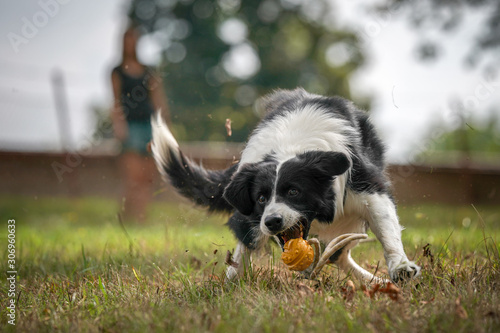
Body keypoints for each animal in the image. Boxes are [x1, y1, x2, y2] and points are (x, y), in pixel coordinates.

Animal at [151, 88, 422, 282]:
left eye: (294, 191)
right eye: (261, 198)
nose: (272, 222)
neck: (291, 146)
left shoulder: (367, 189)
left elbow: (386, 229)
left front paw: (401, 267)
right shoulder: (250, 213)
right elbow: (246, 245)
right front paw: (231, 281)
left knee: (340, 252)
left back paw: (374, 281)